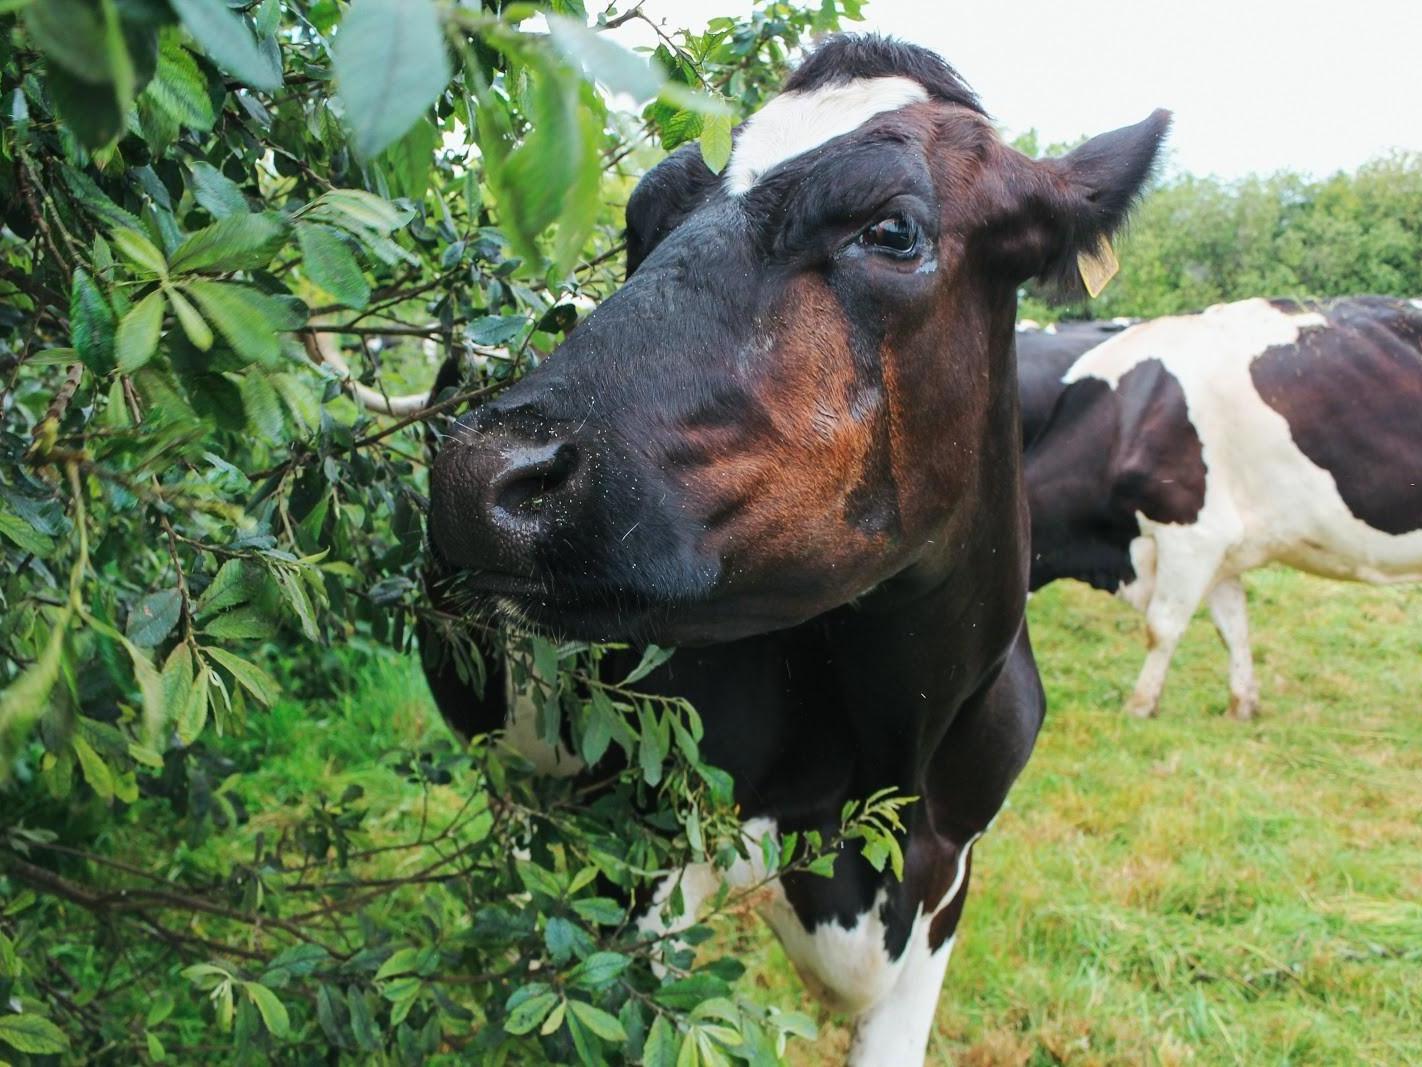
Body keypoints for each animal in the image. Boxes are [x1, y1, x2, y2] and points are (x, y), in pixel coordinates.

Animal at [418, 35, 1166, 1067]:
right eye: (641, 223)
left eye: (893, 229)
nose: (482, 471)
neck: (897, 740)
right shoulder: (647, 855)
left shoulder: (951, 875)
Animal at [1023, 297, 1422, 722]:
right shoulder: (1226, 548)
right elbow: (1232, 627)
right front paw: (1242, 705)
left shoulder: (1194, 534)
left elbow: (1161, 626)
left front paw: (1140, 705)